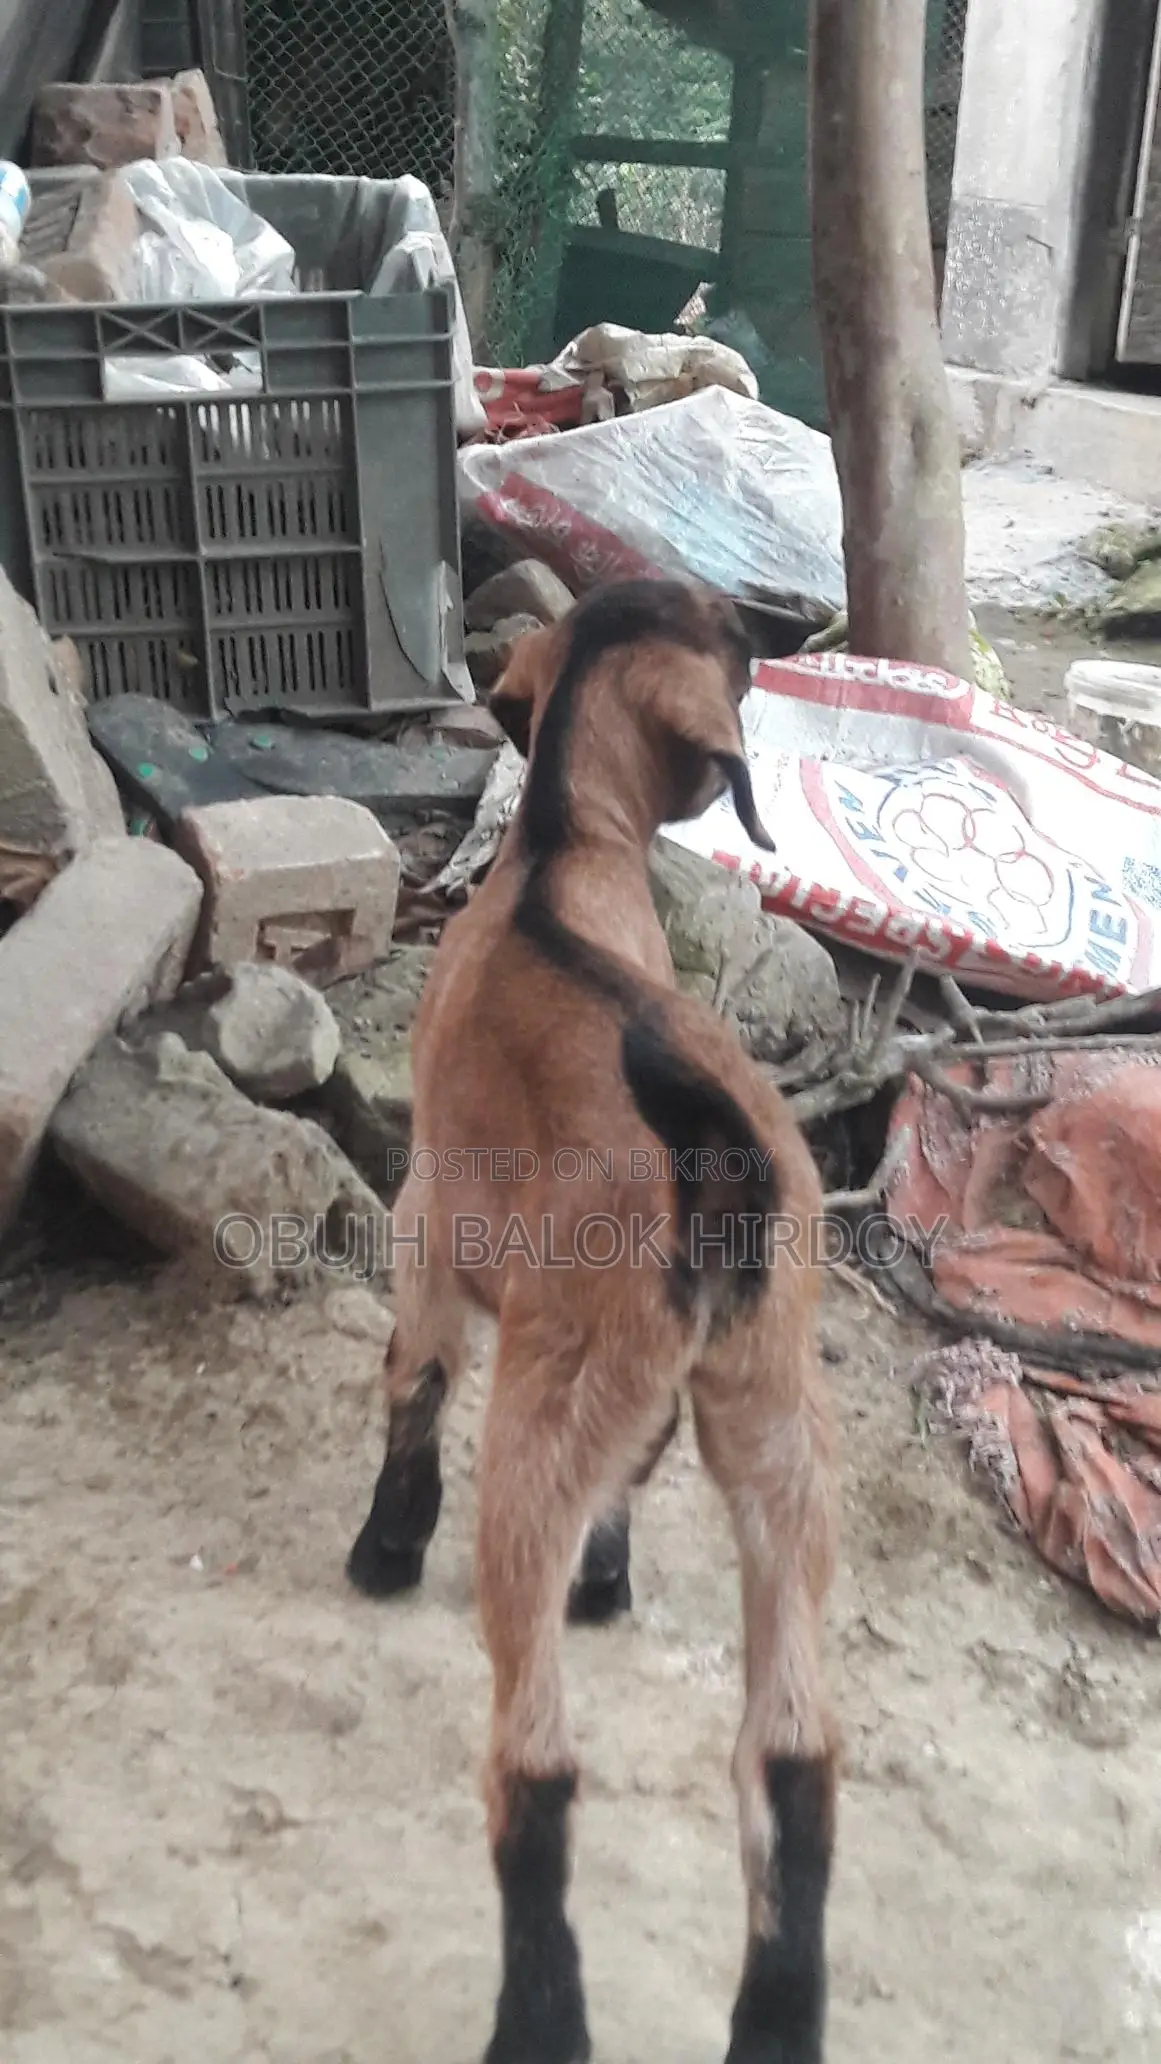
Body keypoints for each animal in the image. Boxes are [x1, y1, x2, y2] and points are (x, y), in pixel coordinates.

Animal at [346, 578, 839, 2064]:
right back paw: (777, 2020)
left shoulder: (428, 1212)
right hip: (780, 1424)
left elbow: (415, 1380)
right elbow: (633, 1466)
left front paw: (384, 1548)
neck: (558, 856)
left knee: (537, 1766)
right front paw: (610, 1580)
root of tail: (715, 1145)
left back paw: (540, 2019)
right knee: (792, 1756)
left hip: (537, 1430)